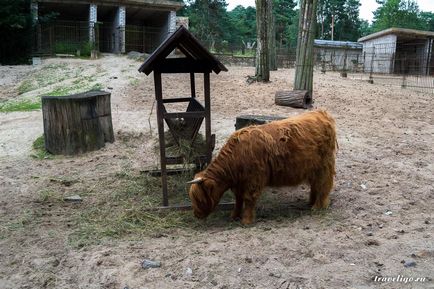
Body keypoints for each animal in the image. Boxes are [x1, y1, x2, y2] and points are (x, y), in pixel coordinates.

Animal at [186, 109, 336, 224]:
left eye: (199, 198)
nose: (196, 215)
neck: (235, 159)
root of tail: (321, 113)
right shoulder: (239, 184)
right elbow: (238, 200)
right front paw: (234, 216)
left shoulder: (253, 180)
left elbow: (248, 199)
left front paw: (246, 221)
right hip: (313, 169)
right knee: (315, 185)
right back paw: (311, 203)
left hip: (324, 167)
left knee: (323, 185)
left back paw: (317, 207)